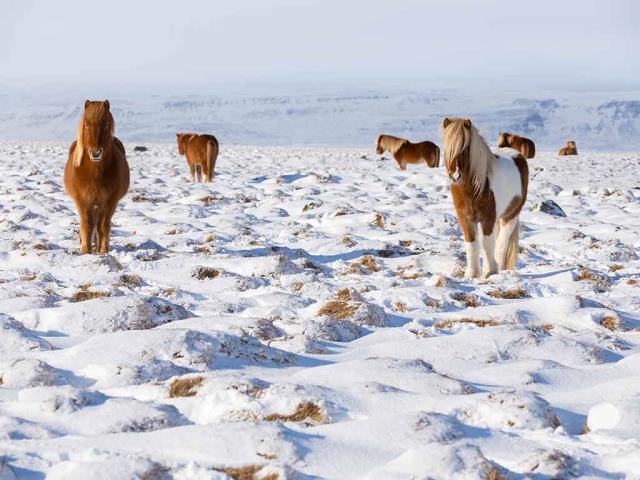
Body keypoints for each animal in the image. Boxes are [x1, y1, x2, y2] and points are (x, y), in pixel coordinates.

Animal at [64, 100, 130, 254]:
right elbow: (86, 224)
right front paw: (86, 249)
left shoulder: (110, 201)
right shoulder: (83, 201)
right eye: (87, 124)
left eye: (106, 124)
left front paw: (103, 249)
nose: (95, 153)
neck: (94, 173)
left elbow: (103, 225)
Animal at [442, 118, 529, 278]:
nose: (455, 176)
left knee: (502, 242)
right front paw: (472, 274)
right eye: (446, 147)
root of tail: (518, 155)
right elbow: (471, 243)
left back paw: (498, 266)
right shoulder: (465, 218)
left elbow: (487, 244)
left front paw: (490, 271)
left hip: (510, 215)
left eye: (465, 147)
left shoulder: (488, 217)